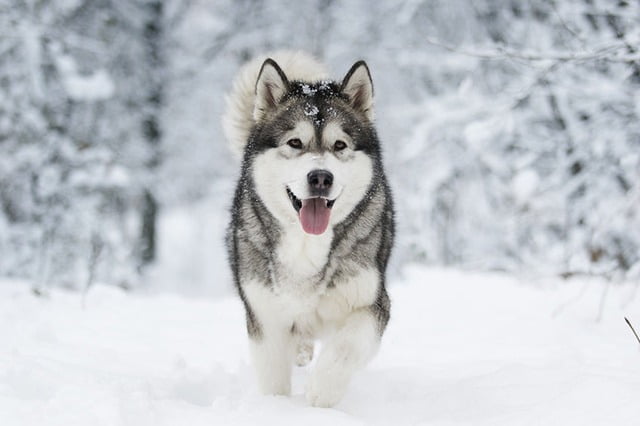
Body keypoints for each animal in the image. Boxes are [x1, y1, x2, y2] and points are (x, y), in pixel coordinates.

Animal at [225, 50, 396, 406]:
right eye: (295, 142)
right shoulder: (265, 315)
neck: (306, 245)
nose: (320, 178)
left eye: (340, 145)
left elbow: (346, 347)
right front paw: (276, 408)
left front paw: (322, 393)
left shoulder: (373, 303)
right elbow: (273, 375)